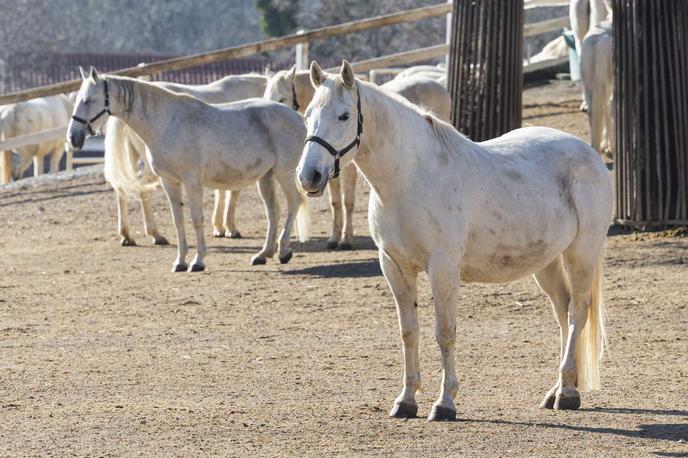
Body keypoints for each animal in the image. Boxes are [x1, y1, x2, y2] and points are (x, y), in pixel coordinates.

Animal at [68, 68, 310, 272]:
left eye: (88, 100)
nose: (73, 137)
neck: (166, 122)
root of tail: (299, 118)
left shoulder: (192, 182)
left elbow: (196, 218)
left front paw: (198, 261)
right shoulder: (170, 182)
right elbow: (178, 221)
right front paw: (180, 262)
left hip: (284, 173)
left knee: (294, 203)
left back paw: (283, 251)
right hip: (266, 177)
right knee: (273, 211)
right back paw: (263, 254)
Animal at [298, 60, 612, 422]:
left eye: (344, 115)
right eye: (308, 114)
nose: (309, 176)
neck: (411, 177)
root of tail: (589, 153)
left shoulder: (443, 267)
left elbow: (445, 333)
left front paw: (445, 402)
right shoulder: (394, 266)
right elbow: (409, 332)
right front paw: (406, 400)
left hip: (581, 254)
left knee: (577, 313)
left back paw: (568, 394)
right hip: (545, 263)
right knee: (562, 311)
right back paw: (558, 389)